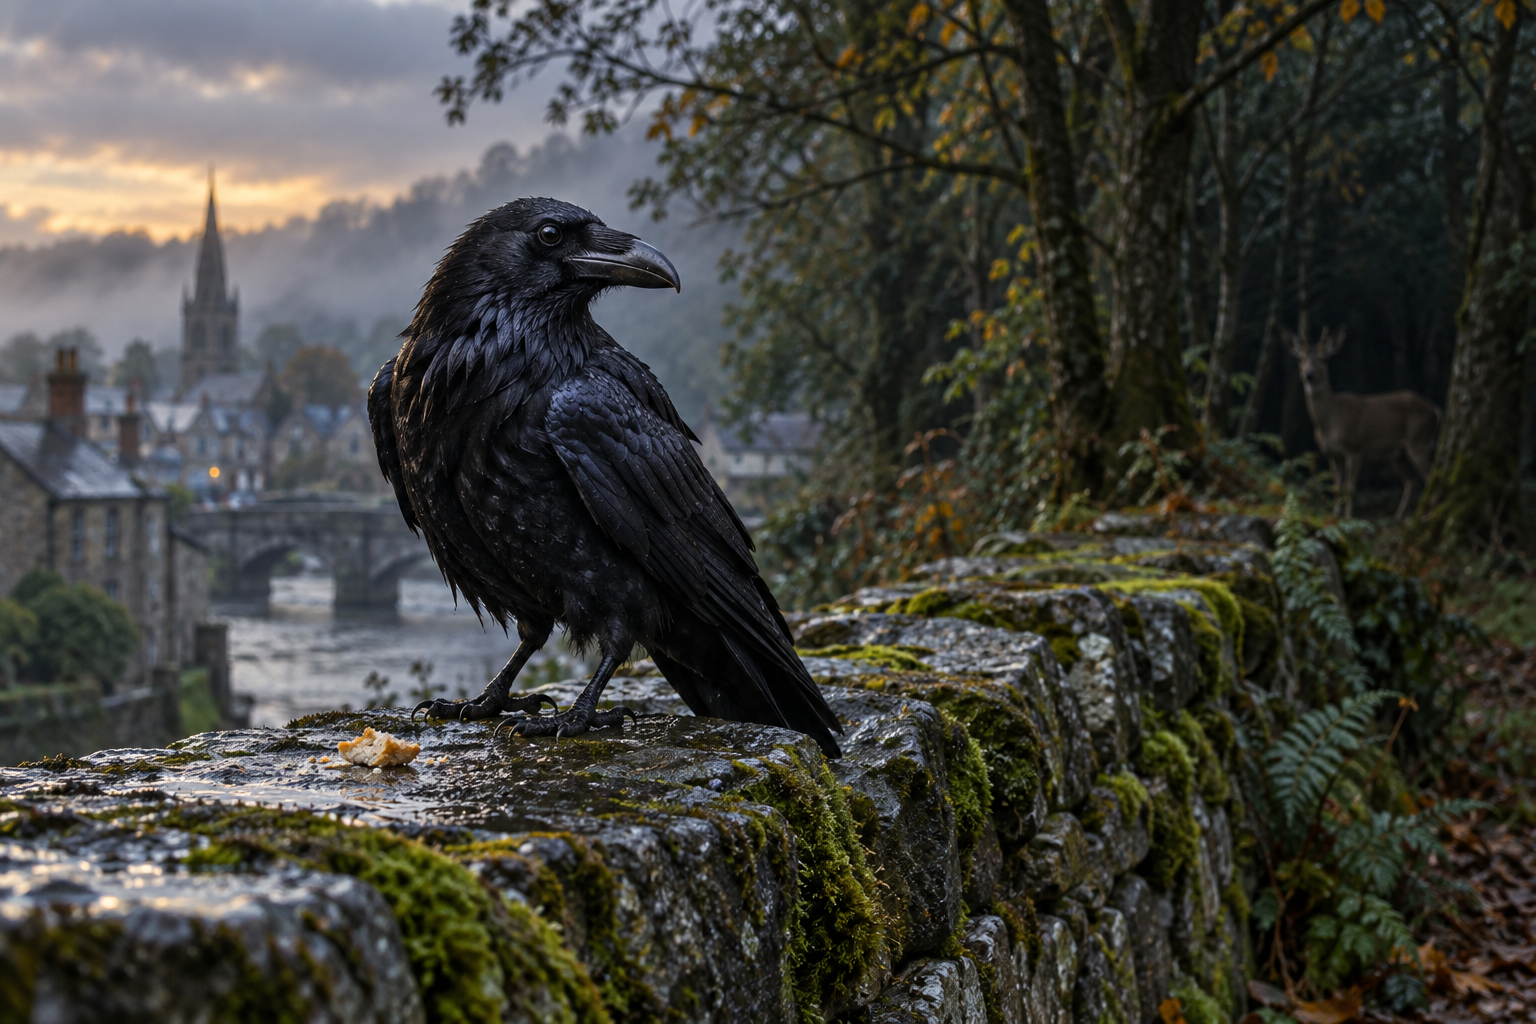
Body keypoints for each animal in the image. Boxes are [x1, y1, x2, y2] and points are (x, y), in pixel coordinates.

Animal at [1284, 326, 1441, 520]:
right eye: (1300, 358)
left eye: (1324, 358)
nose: (1309, 374)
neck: (1329, 423)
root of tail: (1435, 409)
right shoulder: (1331, 453)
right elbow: (1336, 486)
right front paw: (1334, 516)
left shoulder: (1355, 448)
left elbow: (1349, 488)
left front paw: (1347, 518)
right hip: (1398, 454)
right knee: (1413, 482)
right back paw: (1399, 517)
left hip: (1418, 440)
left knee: (1431, 476)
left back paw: (1424, 515)